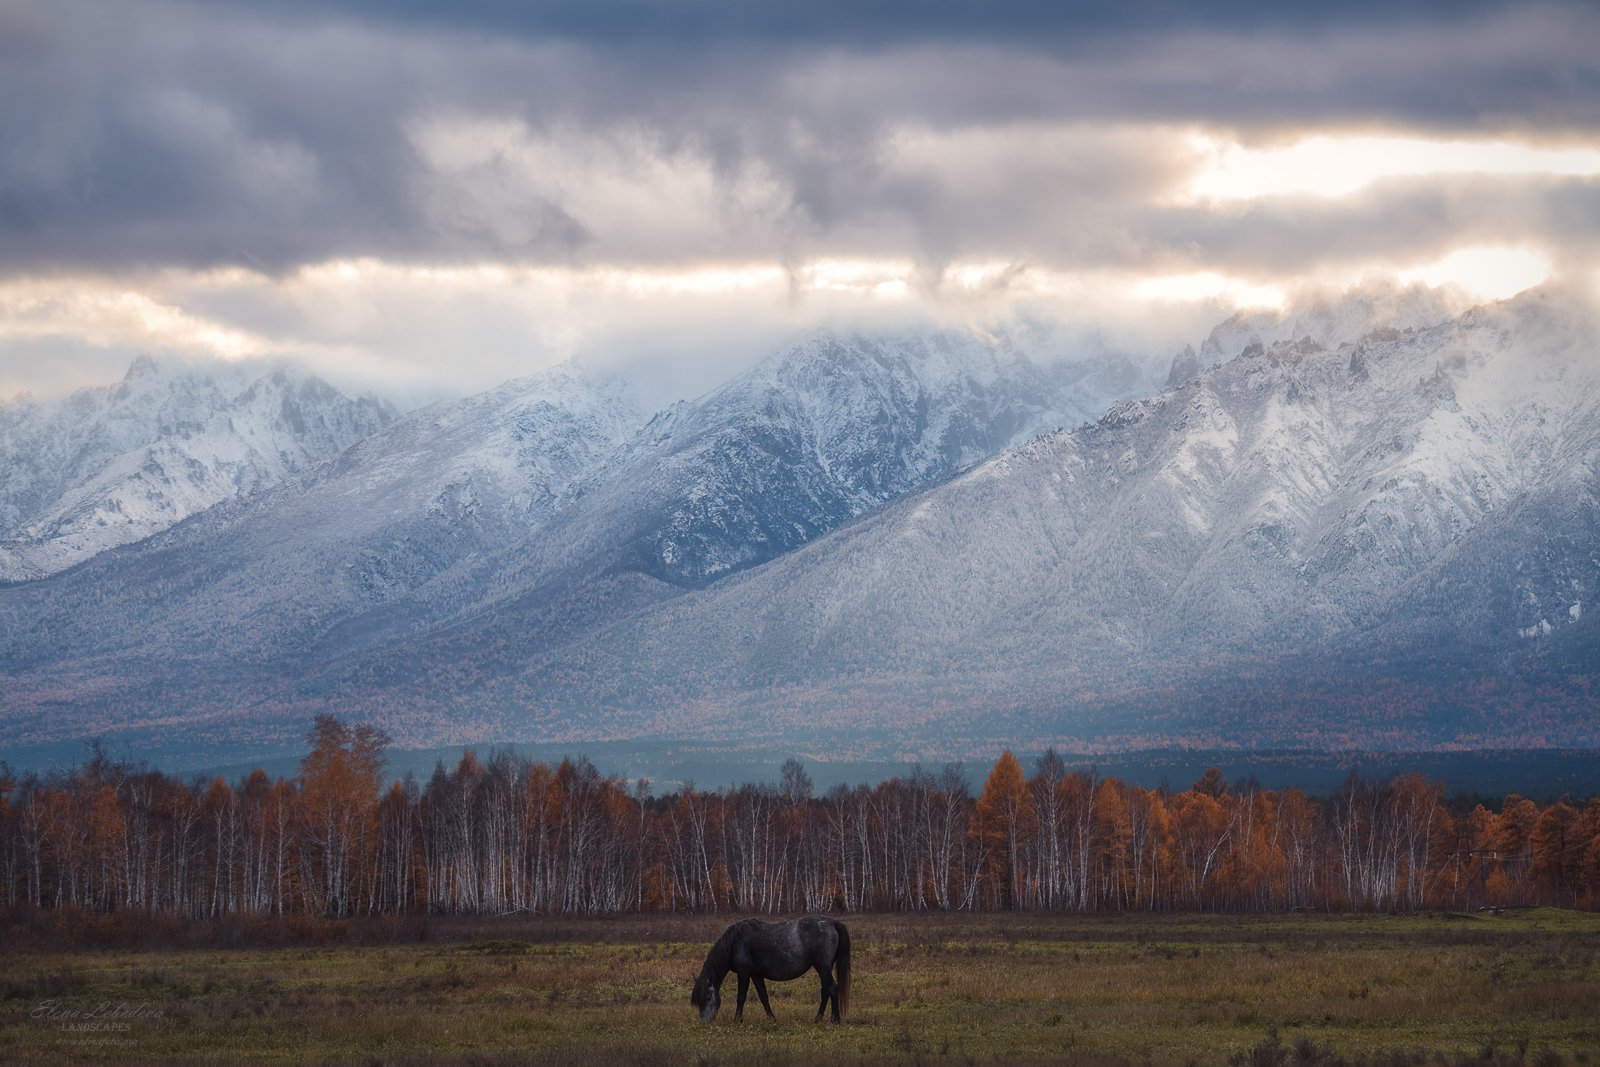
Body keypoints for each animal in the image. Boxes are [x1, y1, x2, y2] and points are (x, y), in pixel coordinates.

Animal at [688, 915, 851, 1023]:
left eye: (708, 998)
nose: (705, 1022)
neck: (736, 942)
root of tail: (832, 922)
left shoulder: (744, 973)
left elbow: (741, 997)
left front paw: (737, 1020)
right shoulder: (755, 974)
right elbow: (763, 997)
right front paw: (772, 1019)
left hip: (823, 967)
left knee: (832, 988)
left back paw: (835, 1020)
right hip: (822, 968)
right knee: (825, 991)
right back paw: (818, 1019)